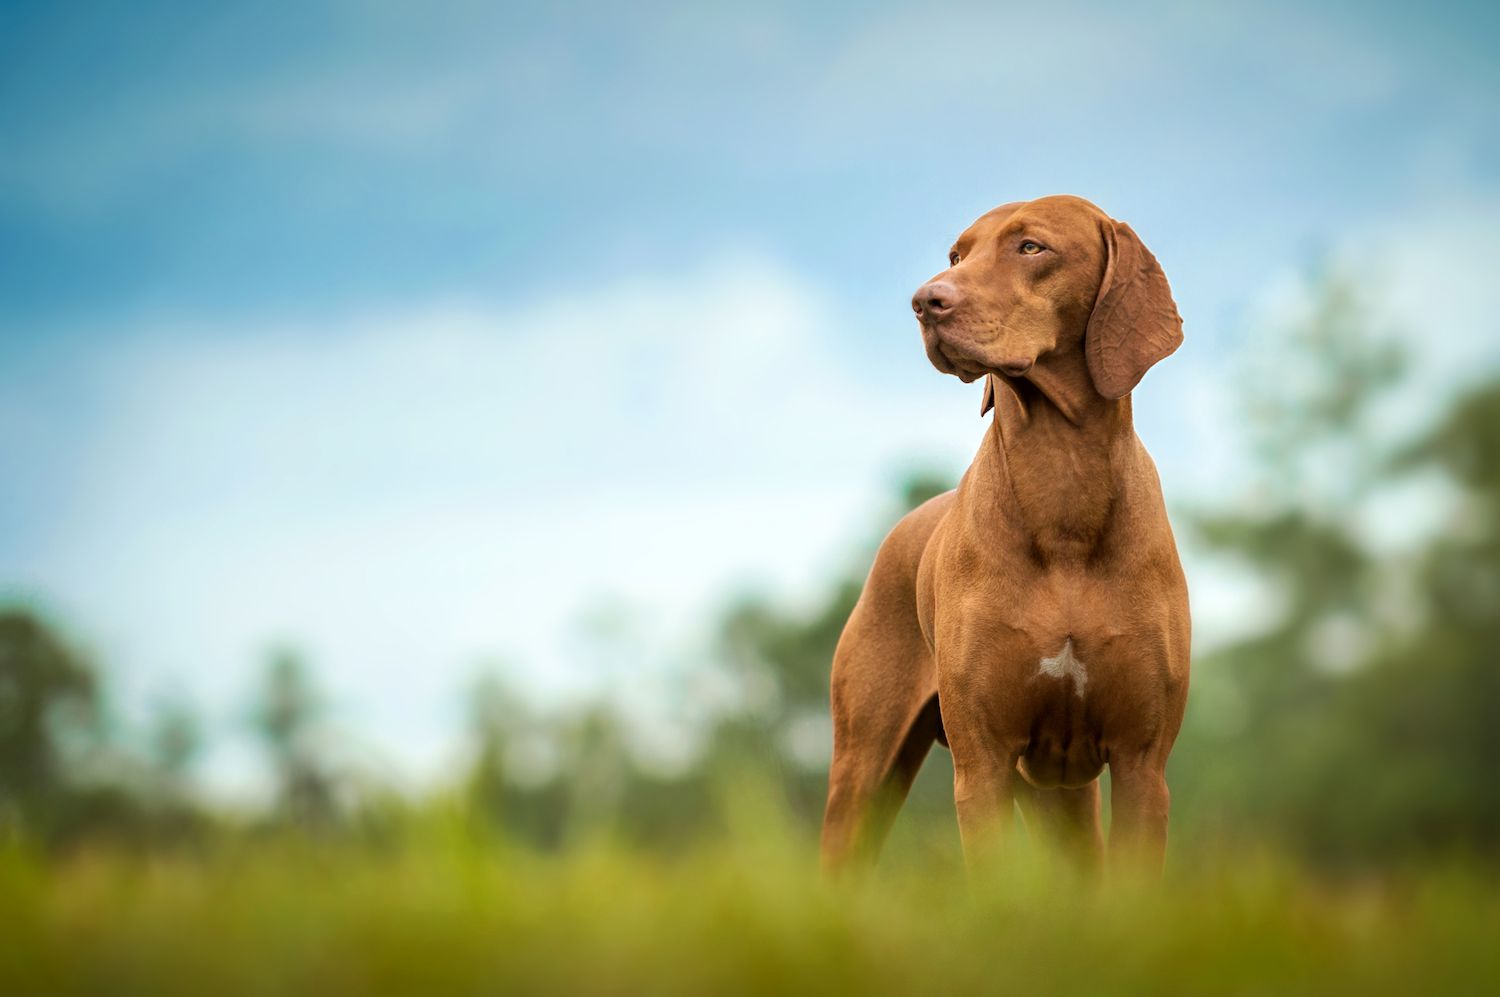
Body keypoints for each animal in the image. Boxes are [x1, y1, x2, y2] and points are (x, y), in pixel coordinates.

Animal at [816, 191, 1188, 869]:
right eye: (956, 255)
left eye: (1030, 247)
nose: (925, 301)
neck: (1061, 485)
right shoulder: (982, 764)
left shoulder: (1142, 763)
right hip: (866, 767)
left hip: (1062, 795)